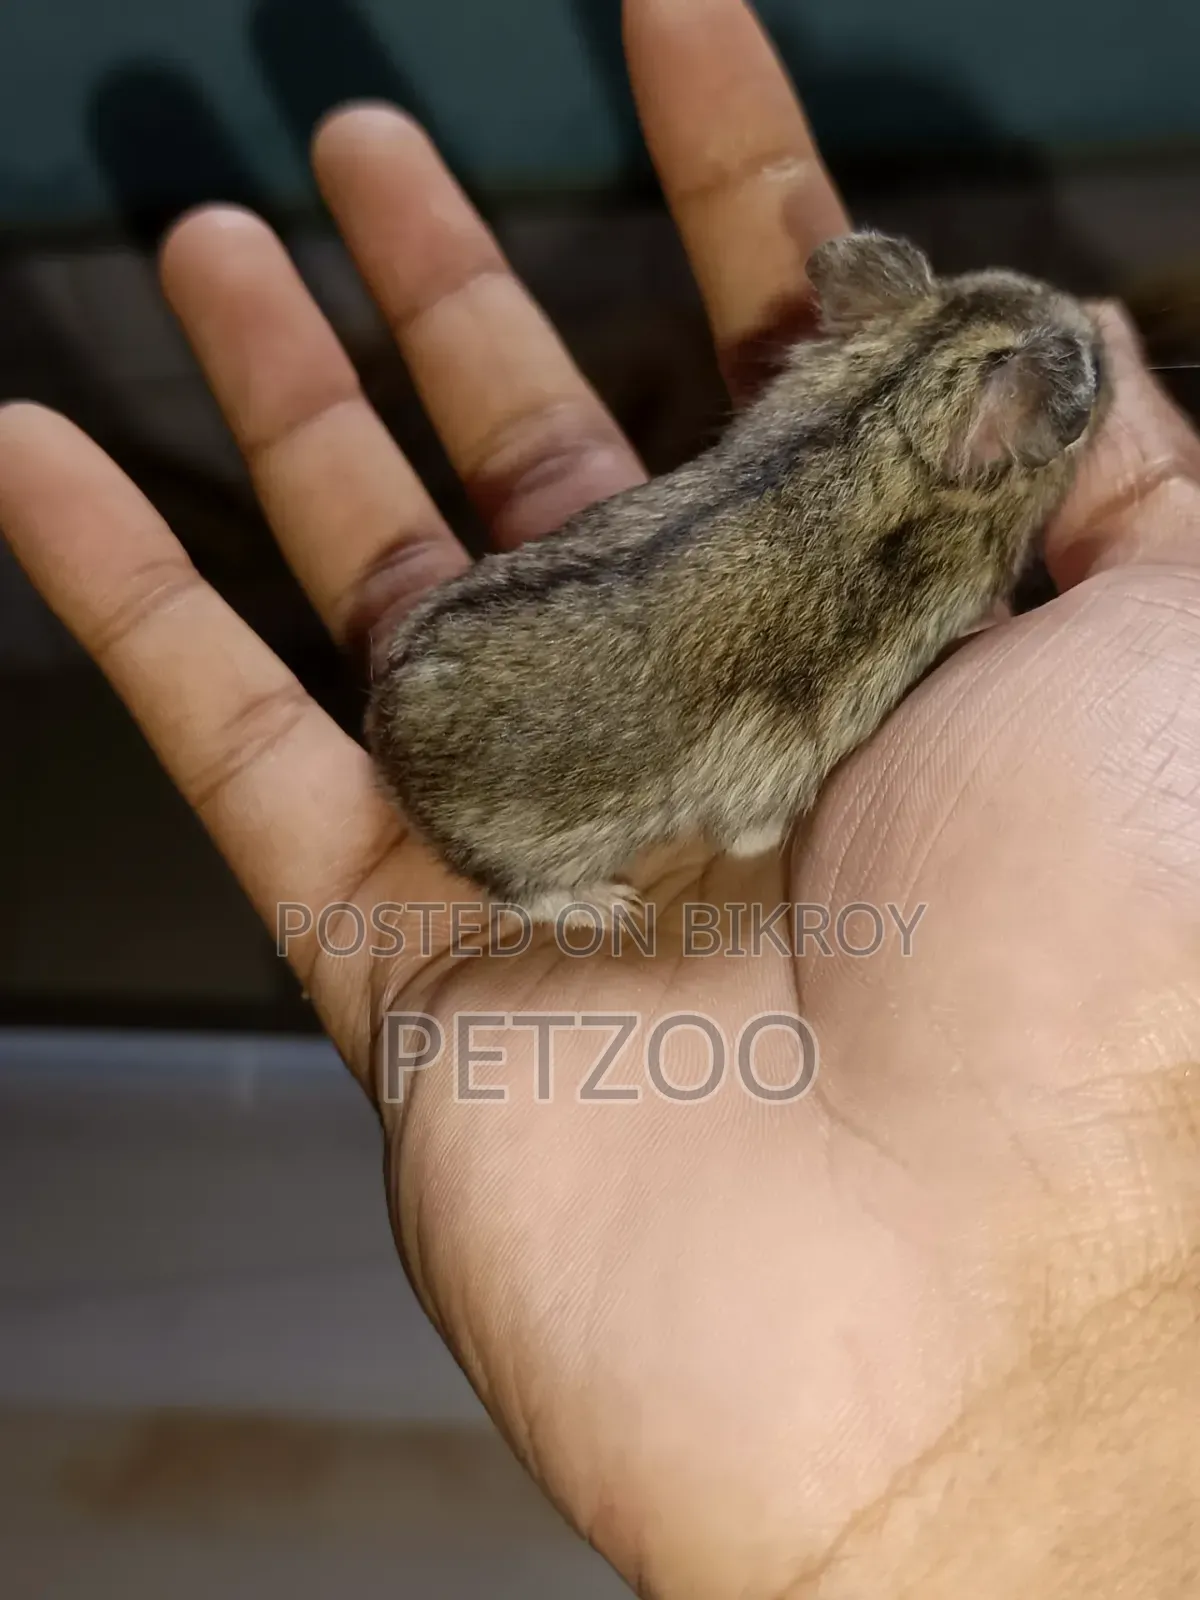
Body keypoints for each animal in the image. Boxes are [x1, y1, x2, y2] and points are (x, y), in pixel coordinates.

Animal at [366, 232, 1108, 924]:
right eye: (1094, 376)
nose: (1098, 316)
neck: (884, 413)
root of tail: (379, 727)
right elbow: (750, 834)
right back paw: (611, 905)